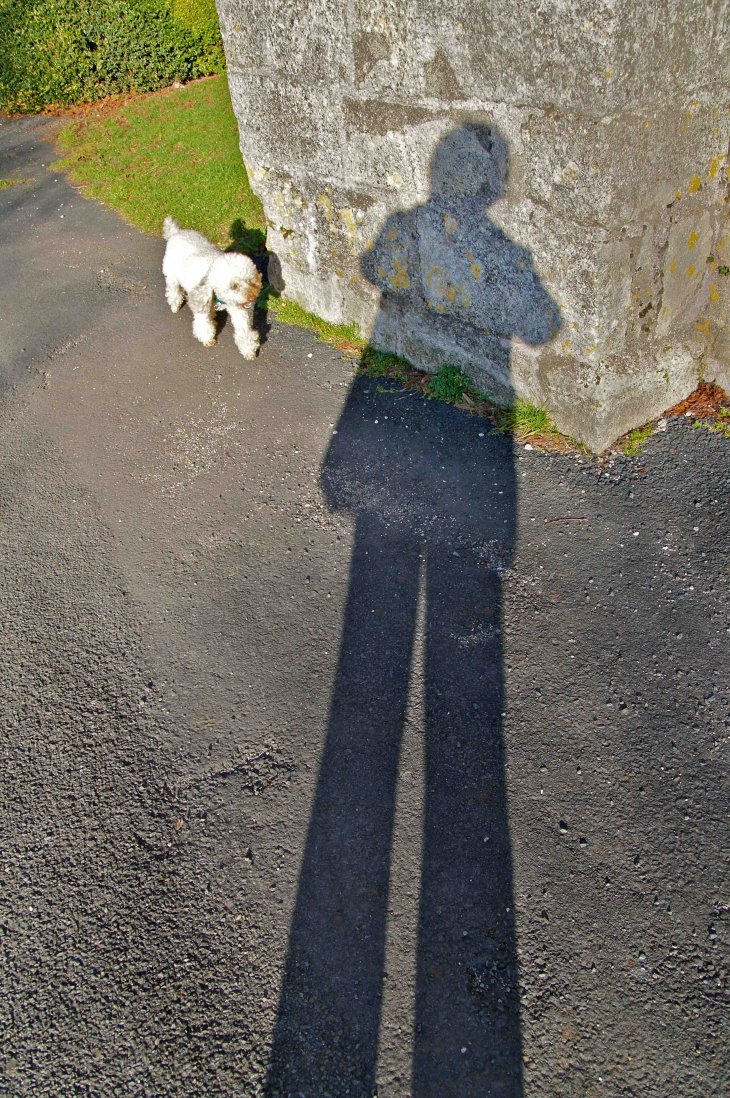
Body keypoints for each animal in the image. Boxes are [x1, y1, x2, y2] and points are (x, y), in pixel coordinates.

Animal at [161, 218, 262, 360]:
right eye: (234, 286)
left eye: (250, 280)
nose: (252, 297)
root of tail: (176, 232)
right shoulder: (201, 302)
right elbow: (203, 324)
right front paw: (208, 339)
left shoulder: (238, 309)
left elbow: (244, 330)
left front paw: (248, 350)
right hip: (171, 276)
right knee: (173, 291)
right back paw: (175, 305)